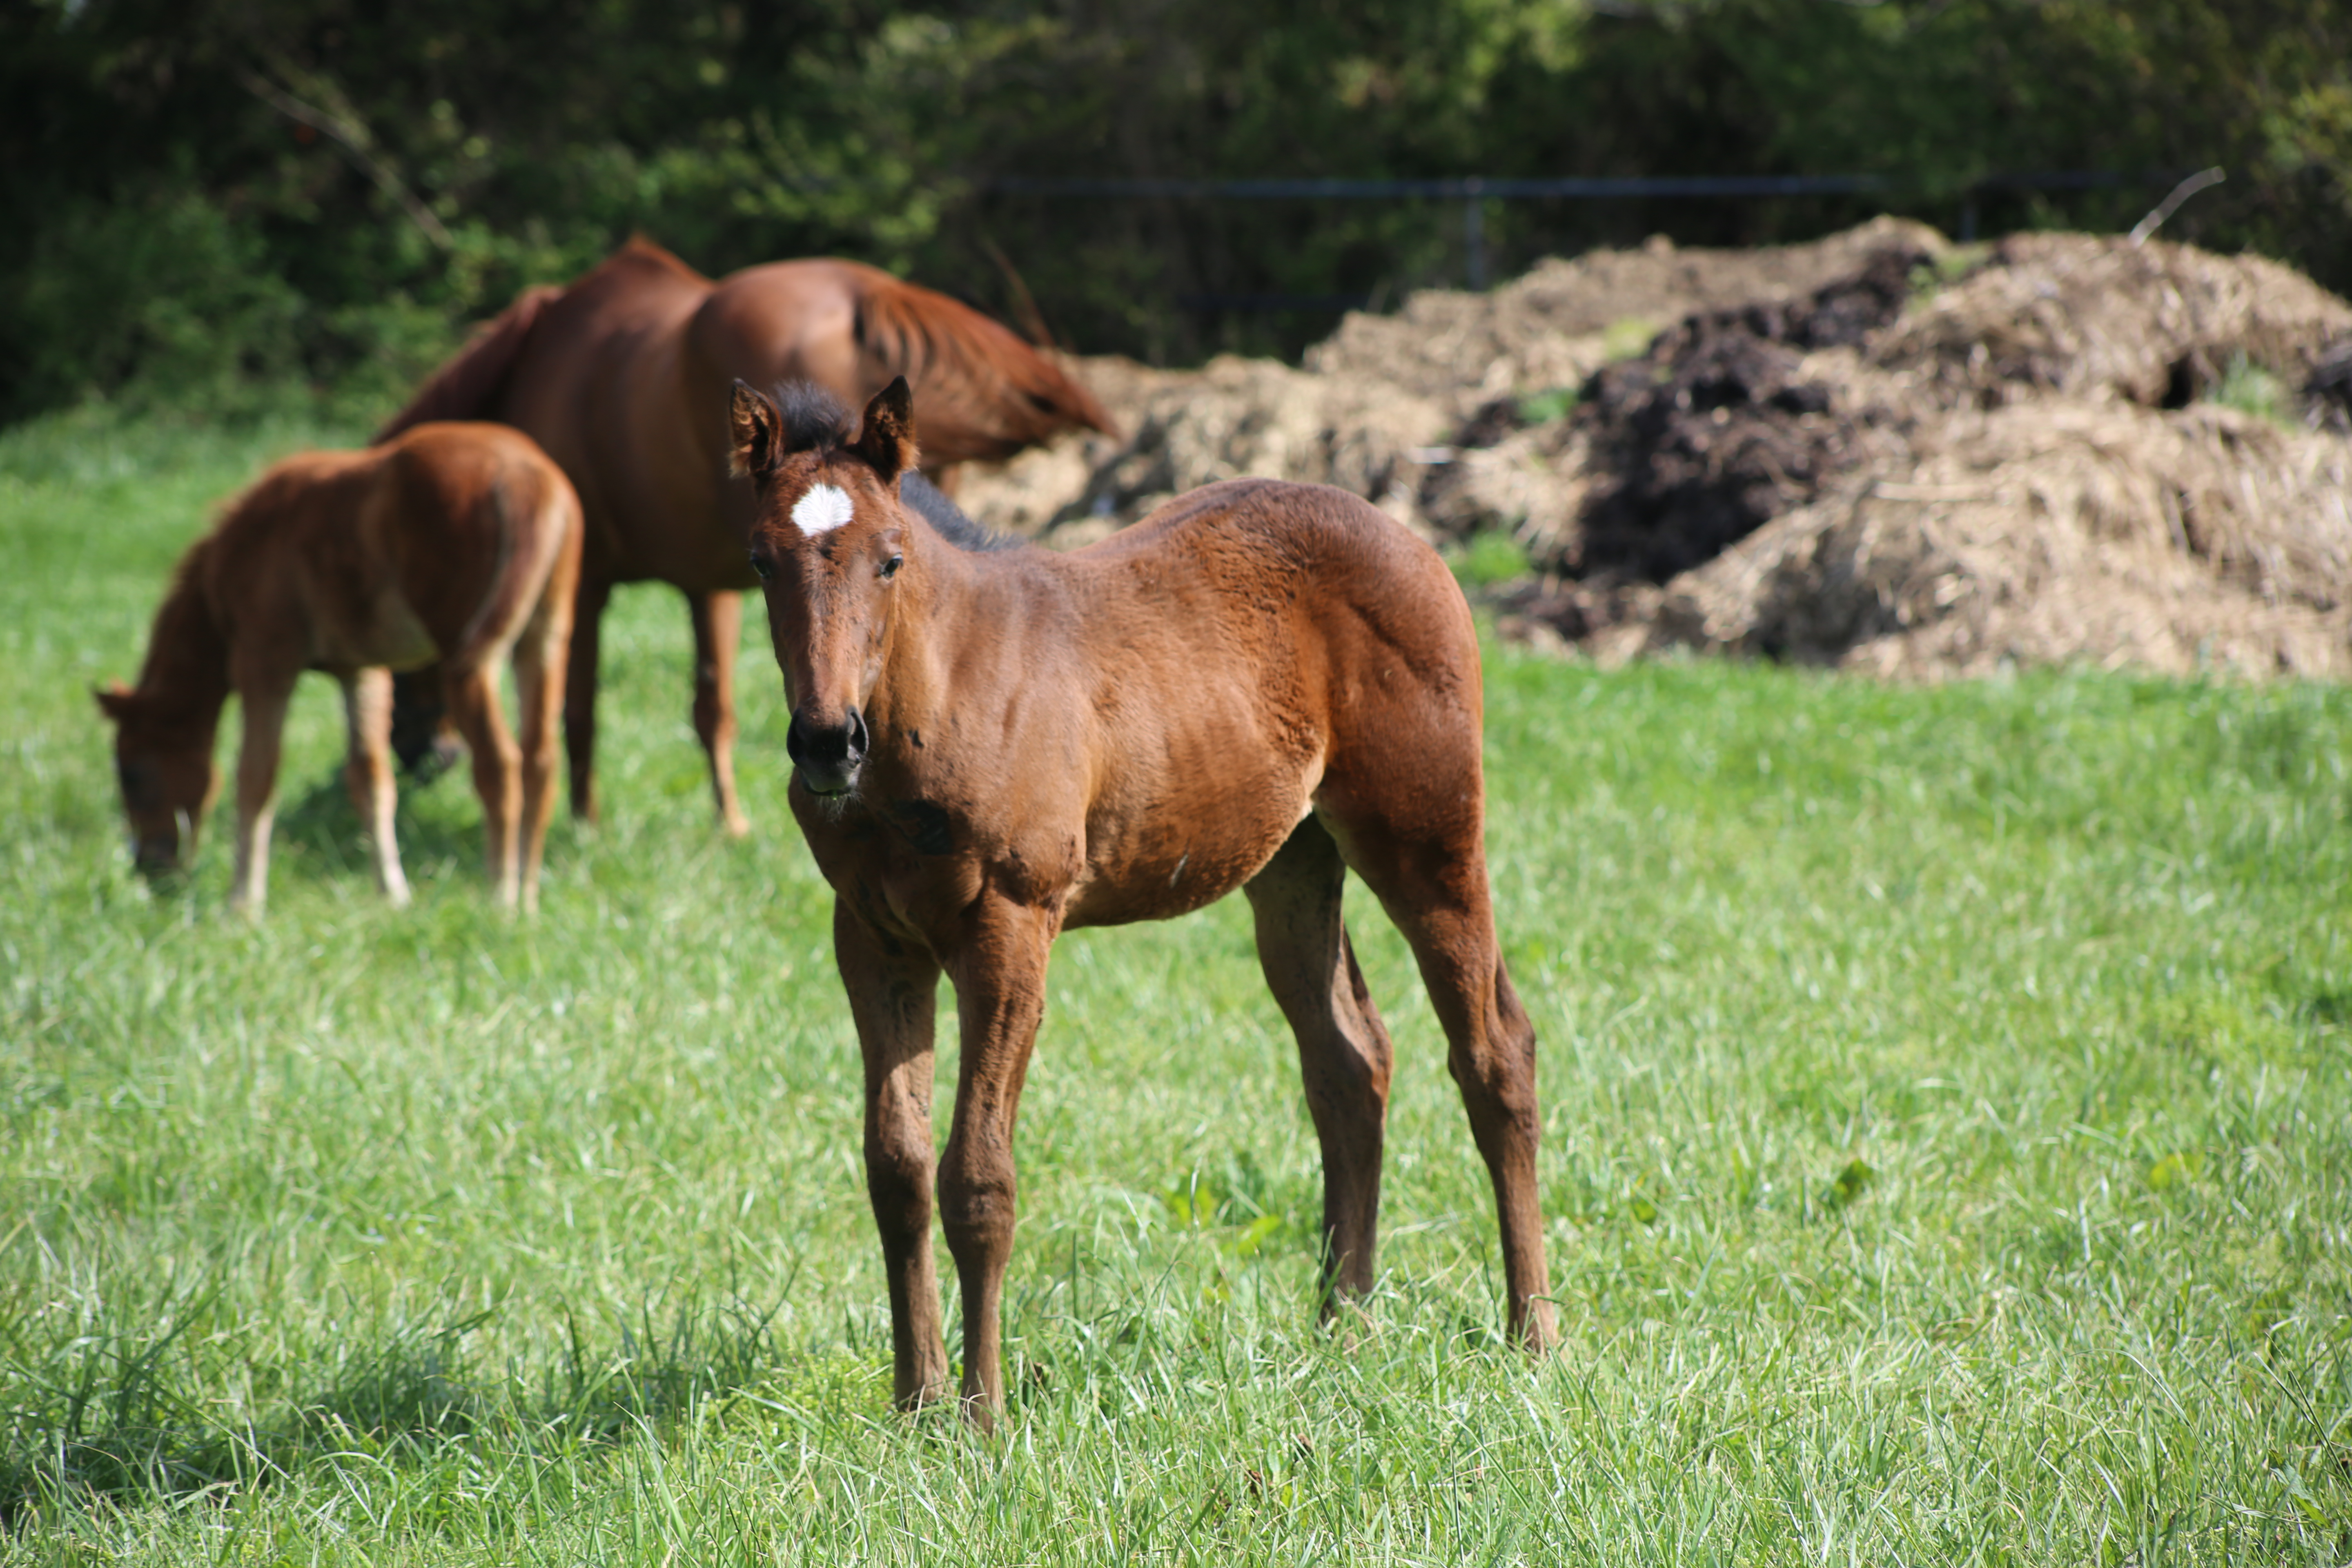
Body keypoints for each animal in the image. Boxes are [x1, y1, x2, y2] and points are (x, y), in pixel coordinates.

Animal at [98, 423, 583, 921]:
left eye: (132, 773)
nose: (149, 868)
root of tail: (527, 478)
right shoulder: (361, 671)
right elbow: (371, 779)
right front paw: (393, 895)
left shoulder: (264, 660)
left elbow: (255, 778)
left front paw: (244, 904)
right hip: (543, 643)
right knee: (541, 760)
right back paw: (527, 898)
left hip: (469, 657)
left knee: (499, 764)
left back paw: (500, 899)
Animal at [381, 236, 1115, 832]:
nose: (425, 758)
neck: (541, 363)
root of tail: (865, 293)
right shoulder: (712, 582)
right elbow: (714, 708)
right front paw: (729, 822)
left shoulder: (586, 582)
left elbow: (579, 709)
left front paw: (585, 823)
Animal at [724, 376, 1552, 1420]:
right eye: (760, 560)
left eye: (889, 559)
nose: (827, 742)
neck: (941, 691)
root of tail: (1411, 540)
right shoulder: (874, 938)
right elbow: (896, 1169)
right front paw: (914, 1404)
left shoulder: (1009, 928)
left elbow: (977, 1178)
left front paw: (981, 1415)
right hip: (1294, 863)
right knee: (1349, 1061)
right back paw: (1342, 1330)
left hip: (1426, 839)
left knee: (1494, 1050)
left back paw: (1533, 1334)